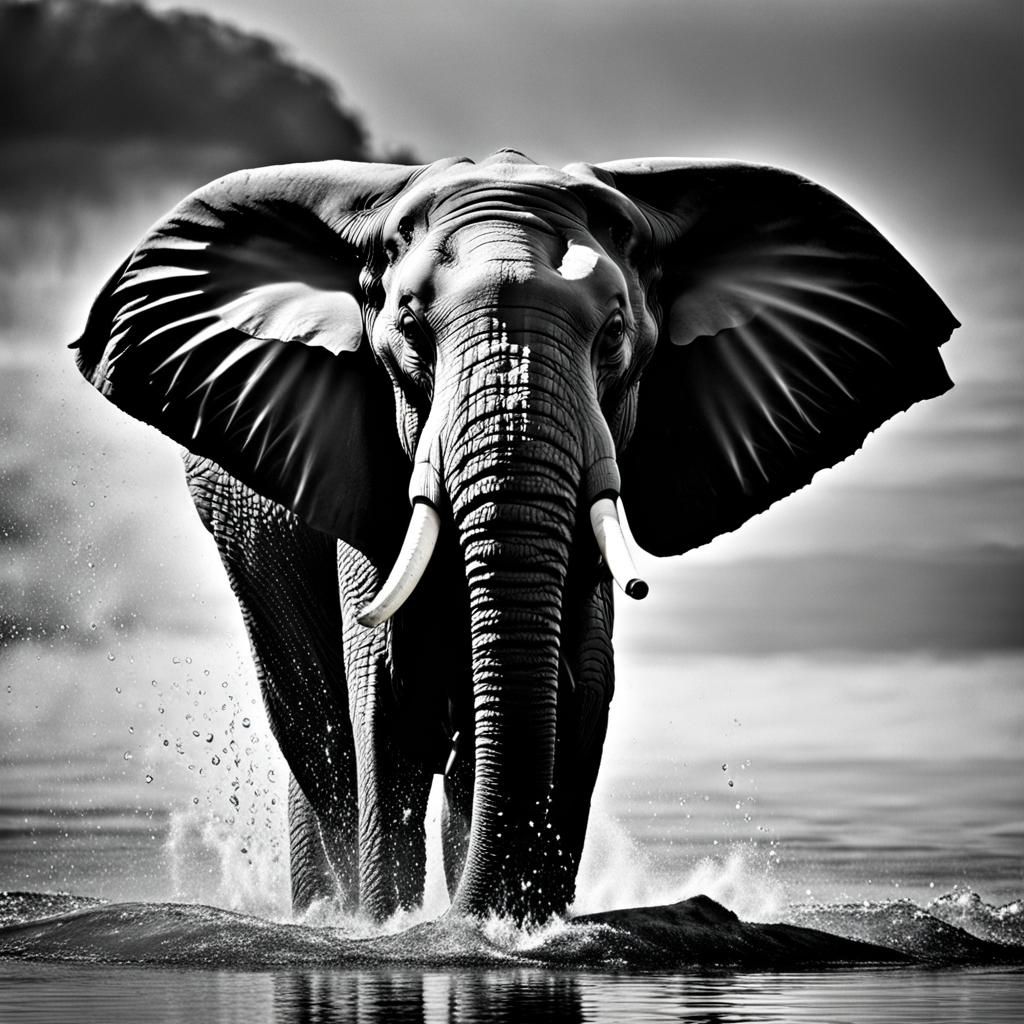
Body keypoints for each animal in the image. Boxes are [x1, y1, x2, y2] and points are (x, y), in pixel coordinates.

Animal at [73, 150, 956, 924]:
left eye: (615, 337)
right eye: (409, 332)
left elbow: (578, 702)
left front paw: (512, 928)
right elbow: (384, 709)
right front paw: (398, 928)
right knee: (319, 736)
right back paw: (334, 910)